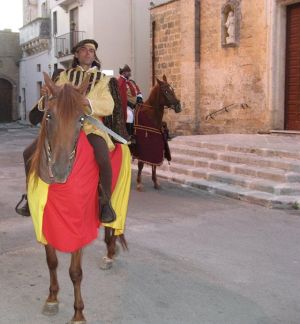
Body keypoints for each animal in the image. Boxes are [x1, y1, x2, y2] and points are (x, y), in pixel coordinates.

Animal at [26, 73, 105, 324]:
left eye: (81, 119)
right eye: (49, 115)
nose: (60, 170)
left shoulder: (78, 228)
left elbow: (75, 272)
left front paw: (78, 313)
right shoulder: (44, 222)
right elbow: (52, 262)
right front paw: (52, 298)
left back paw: (110, 255)